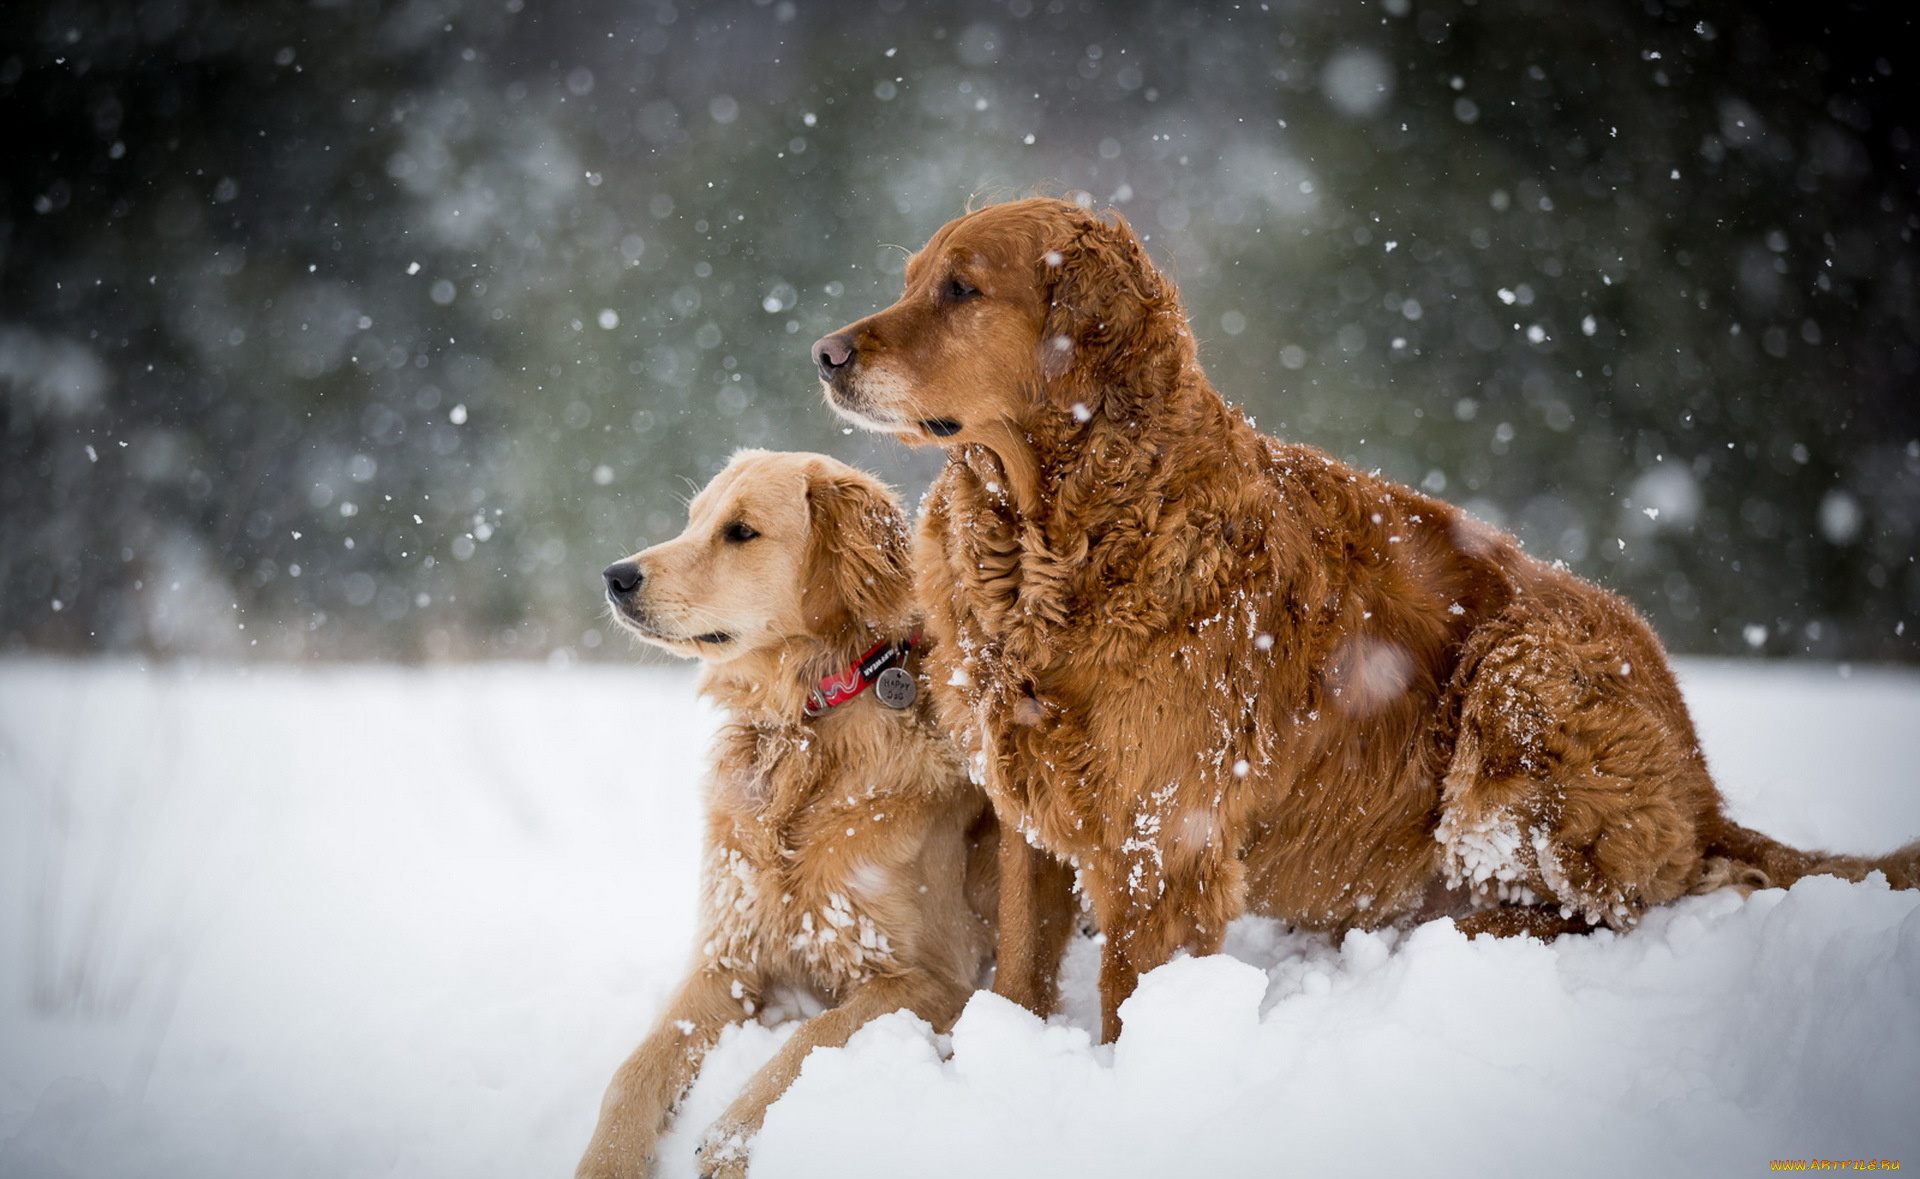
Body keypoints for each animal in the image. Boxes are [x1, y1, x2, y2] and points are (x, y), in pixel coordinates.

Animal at [579, 451, 1006, 1179]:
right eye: (692, 520)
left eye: (741, 531)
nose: (615, 576)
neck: (803, 731)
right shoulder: (727, 955)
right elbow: (635, 1069)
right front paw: (606, 1161)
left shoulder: (935, 979)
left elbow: (812, 1037)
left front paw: (727, 1143)